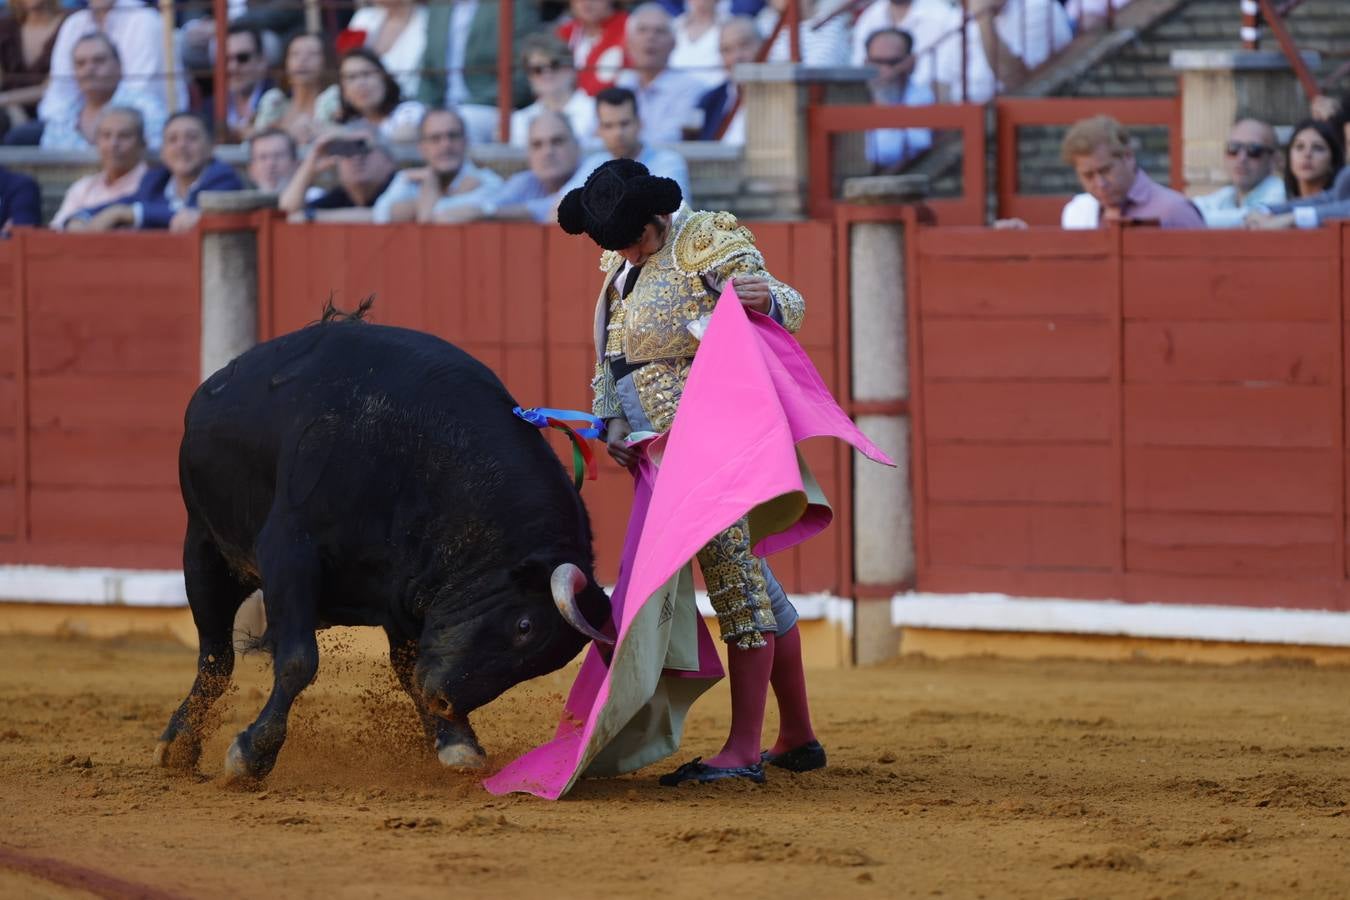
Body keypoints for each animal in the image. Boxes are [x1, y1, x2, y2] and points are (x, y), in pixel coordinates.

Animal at [154, 313, 612, 777]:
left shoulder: (410, 594)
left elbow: (410, 668)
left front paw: (458, 743)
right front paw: (251, 754)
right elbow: (298, 660)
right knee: (215, 656)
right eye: (524, 626)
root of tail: (222, 378)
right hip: (205, 550)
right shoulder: (289, 554)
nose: (444, 701)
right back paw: (179, 745)